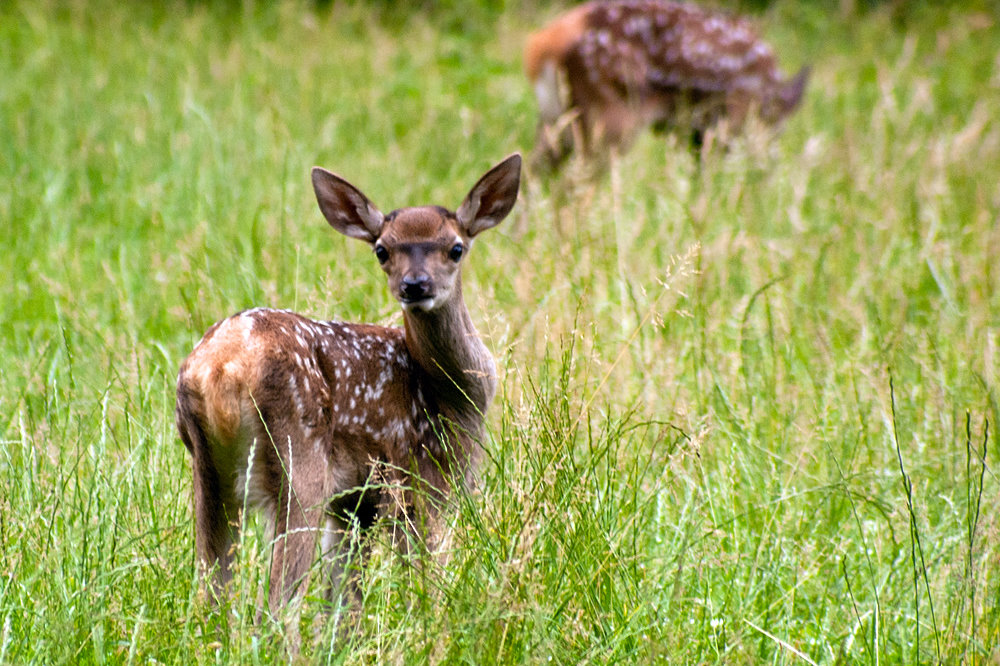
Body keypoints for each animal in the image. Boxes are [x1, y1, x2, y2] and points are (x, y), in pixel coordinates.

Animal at [175, 153, 524, 616]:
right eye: (382, 250)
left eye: (455, 248)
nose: (415, 285)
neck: (452, 393)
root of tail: (219, 368)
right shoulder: (427, 482)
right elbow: (427, 581)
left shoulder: (354, 505)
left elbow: (342, 605)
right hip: (298, 464)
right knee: (276, 607)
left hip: (207, 470)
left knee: (211, 595)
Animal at [528, 0, 808, 166]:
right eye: (778, 129)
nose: (767, 170)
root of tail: (543, 43)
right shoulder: (731, 118)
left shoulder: (697, 132)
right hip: (609, 119)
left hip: (556, 119)